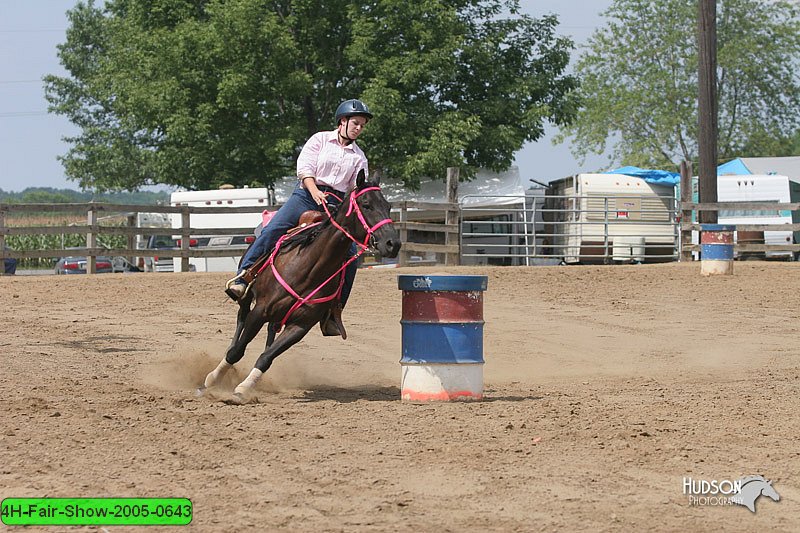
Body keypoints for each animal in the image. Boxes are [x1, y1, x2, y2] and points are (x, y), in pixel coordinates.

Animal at [200, 171, 400, 404]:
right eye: (366, 204)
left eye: (388, 206)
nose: (393, 244)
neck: (309, 267)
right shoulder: (260, 311)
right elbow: (237, 351)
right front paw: (211, 381)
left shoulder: (300, 326)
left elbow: (267, 357)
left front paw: (243, 388)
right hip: (247, 296)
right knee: (240, 322)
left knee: (269, 334)